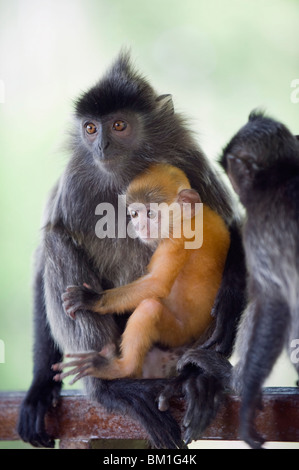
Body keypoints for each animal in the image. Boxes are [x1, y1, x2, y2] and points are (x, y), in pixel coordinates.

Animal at [53, 163, 232, 384]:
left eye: (151, 214)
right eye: (135, 214)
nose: (138, 226)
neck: (191, 218)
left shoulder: (179, 238)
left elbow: (157, 284)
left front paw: (91, 299)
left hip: (177, 334)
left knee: (149, 308)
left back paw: (121, 369)